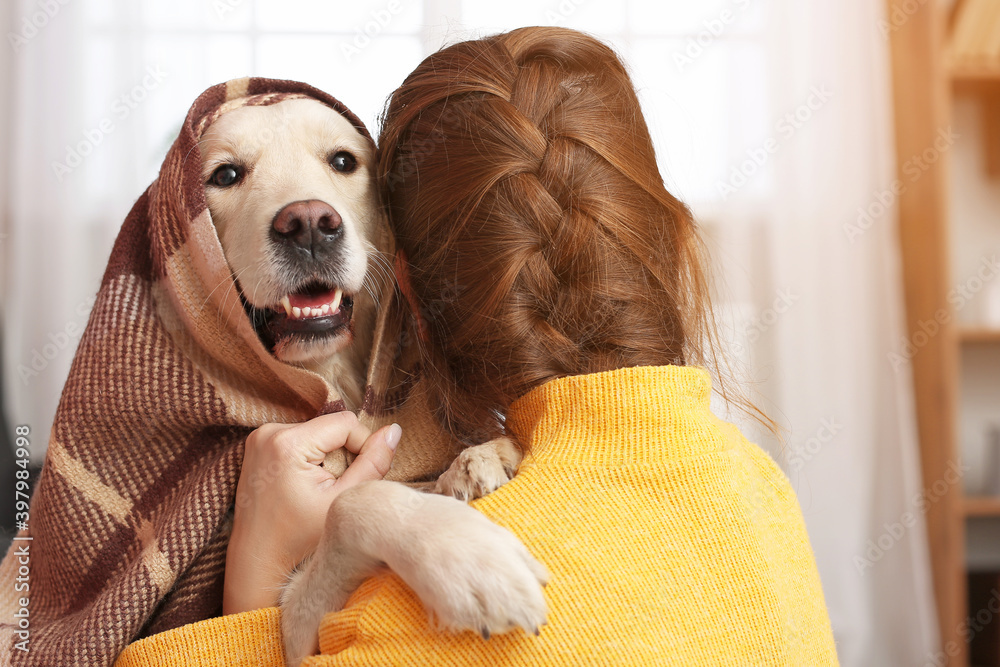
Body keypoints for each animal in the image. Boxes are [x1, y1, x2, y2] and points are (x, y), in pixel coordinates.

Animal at [199, 96, 552, 664]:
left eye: (343, 161)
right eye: (225, 174)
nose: (309, 224)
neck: (337, 382)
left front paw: (482, 459)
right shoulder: (294, 628)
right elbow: (351, 502)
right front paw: (471, 560)